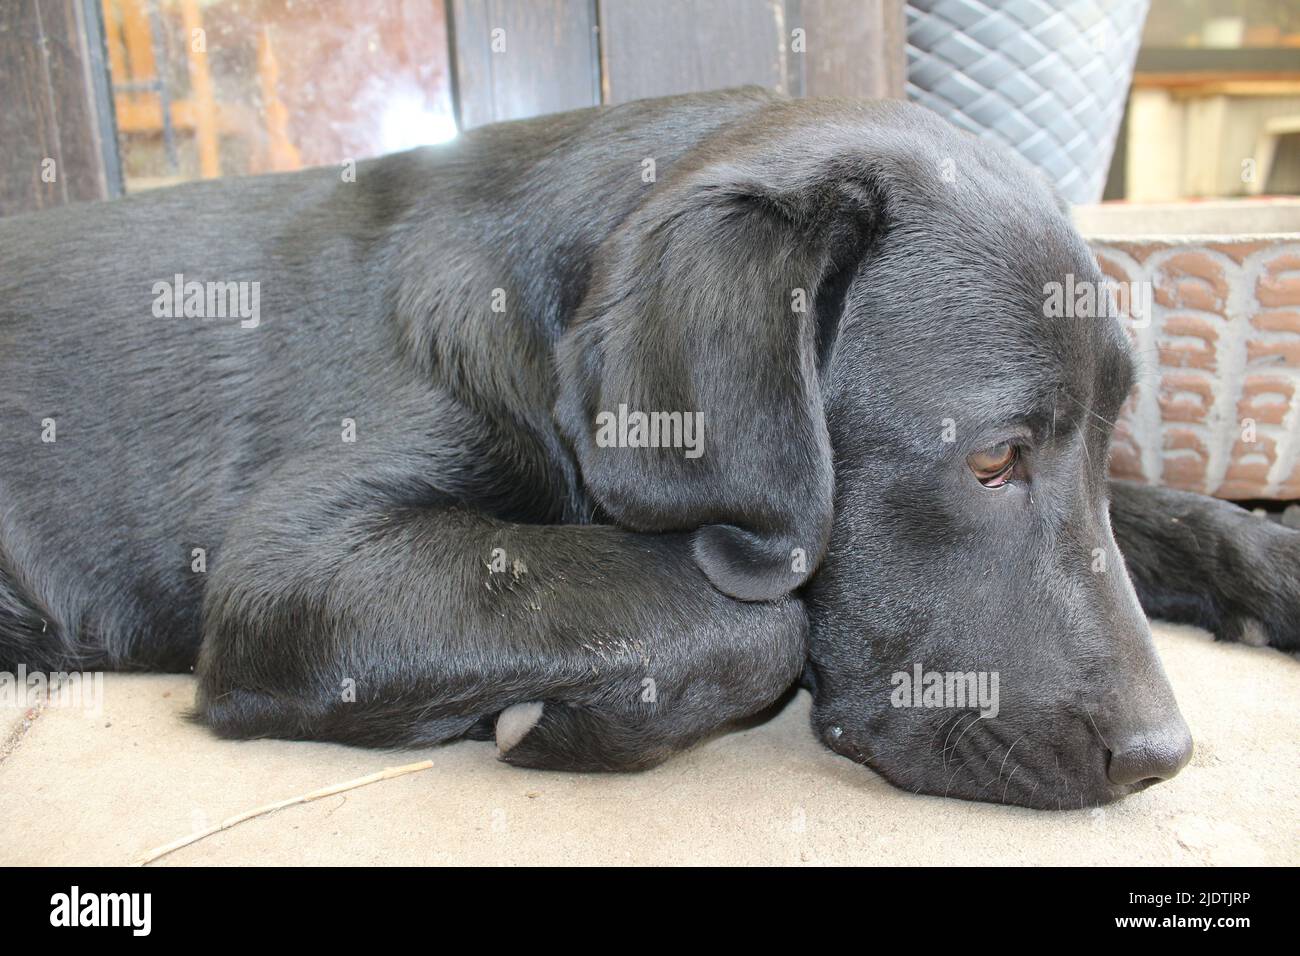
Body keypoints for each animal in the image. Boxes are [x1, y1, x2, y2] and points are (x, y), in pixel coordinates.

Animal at [0, 87, 1294, 806]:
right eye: (989, 459)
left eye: (1097, 435)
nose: (1160, 753)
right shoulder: (290, 568)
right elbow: (746, 622)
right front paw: (557, 720)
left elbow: (1160, 503)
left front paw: (1266, 559)